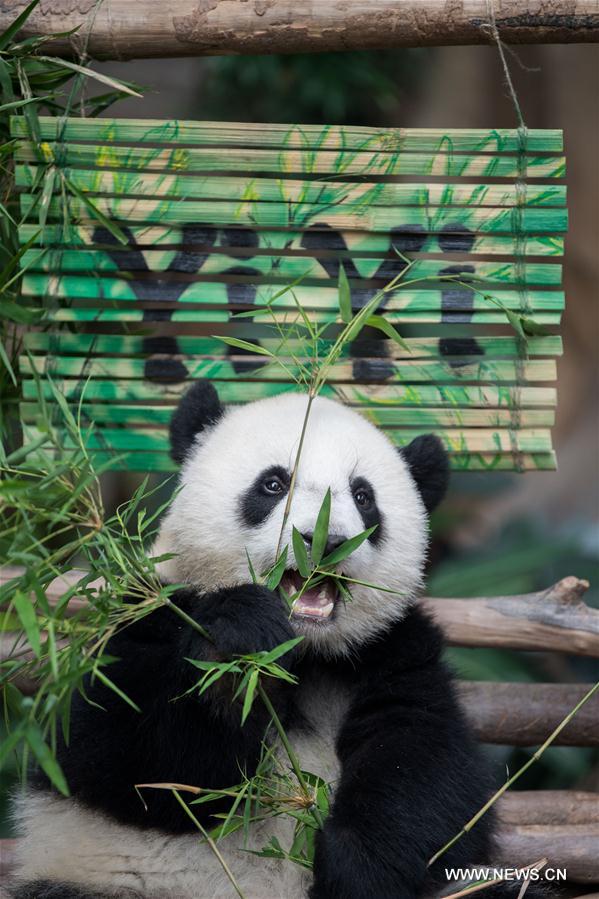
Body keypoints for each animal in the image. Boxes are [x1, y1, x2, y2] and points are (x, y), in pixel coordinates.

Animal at [9, 384, 552, 899]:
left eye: (363, 497)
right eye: (273, 484)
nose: (326, 540)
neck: (302, 653)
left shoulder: (390, 651)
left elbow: (428, 768)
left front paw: (353, 866)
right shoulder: (146, 616)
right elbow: (134, 761)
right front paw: (236, 652)